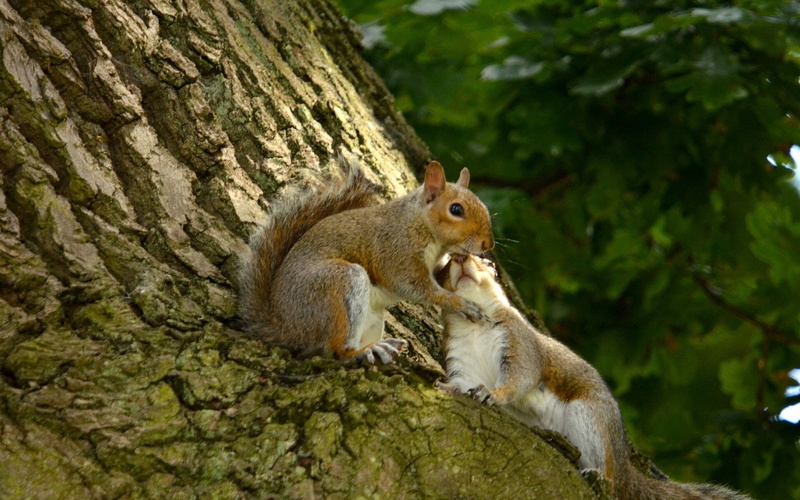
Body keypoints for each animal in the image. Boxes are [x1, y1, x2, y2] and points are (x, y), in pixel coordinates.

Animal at [239, 158, 494, 364]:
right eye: (456, 209)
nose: (488, 244)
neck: (420, 224)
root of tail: (285, 326)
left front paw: (479, 264)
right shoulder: (396, 251)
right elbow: (413, 287)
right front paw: (461, 304)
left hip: (371, 316)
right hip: (336, 286)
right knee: (336, 350)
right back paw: (361, 352)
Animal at [435, 254, 751, 500]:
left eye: (489, 265)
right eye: (443, 267)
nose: (461, 259)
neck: (475, 325)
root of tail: (624, 466)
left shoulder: (520, 342)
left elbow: (521, 377)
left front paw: (493, 393)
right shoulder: (461, 360)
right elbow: (463, 382)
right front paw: (448, 388)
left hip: (589, 417)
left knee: (609, 476)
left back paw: (599, 473)